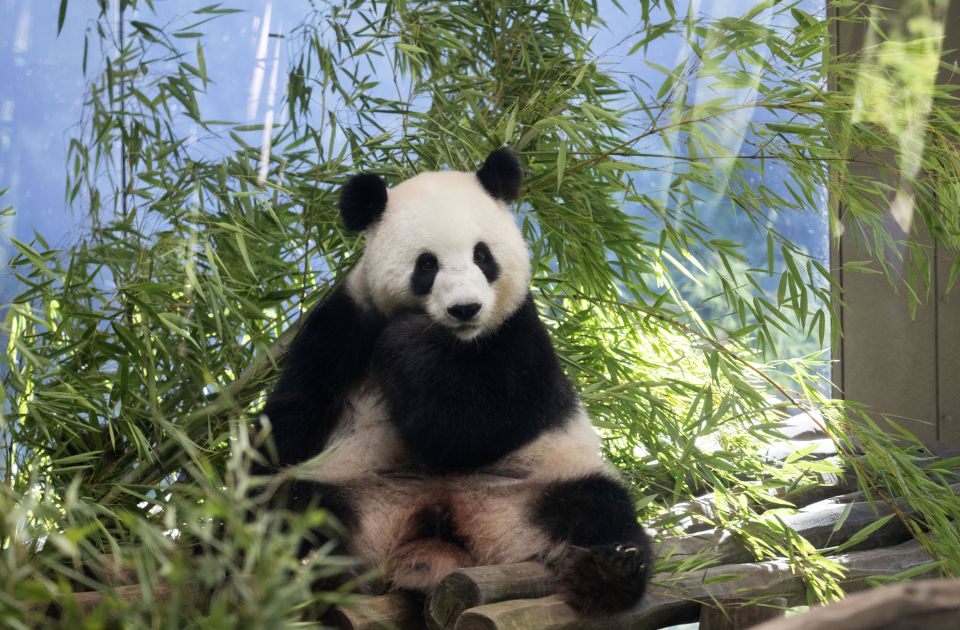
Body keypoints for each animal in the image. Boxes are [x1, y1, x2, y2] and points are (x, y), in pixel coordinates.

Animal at [258, 149, 652, 616]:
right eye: (427, 264)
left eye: (482, 256)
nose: (465, 309)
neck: (455, 342)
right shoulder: (346, 320)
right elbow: (295, 410)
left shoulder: (518, 331)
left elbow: (471, 426)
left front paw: (406, 340)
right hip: (354, 488)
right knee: (294, 506)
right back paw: (294, 563)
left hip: (536, 484)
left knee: (598, 507)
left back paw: (609, 571)